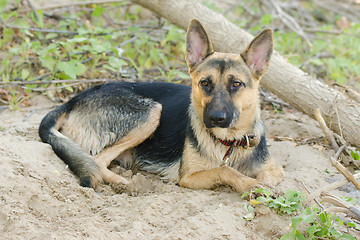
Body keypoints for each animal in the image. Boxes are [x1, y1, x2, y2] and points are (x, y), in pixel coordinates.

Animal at [39, 19, 284, 194]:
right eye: (205, 83)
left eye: (236, 84)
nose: (216, 118)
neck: (229, 143)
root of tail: (75, 99)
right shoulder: (189, 177)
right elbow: (225, 170)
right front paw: (249, 185)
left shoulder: (275, 170)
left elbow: (267, 177)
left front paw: (261, 186)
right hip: (151, 112)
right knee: (97, 160)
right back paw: (123, 183)